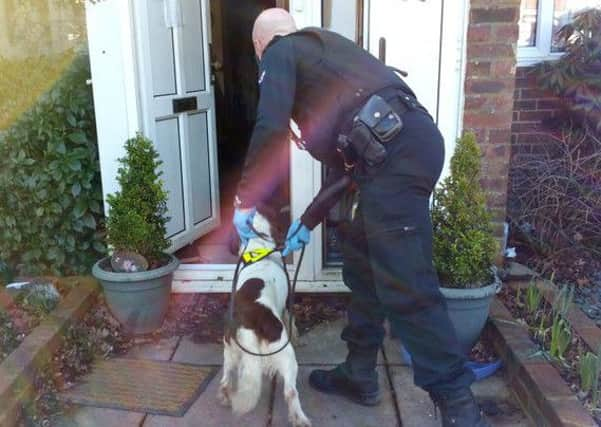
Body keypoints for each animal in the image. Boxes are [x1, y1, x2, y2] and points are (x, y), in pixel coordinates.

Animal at [217, 211, 310, 427]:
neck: (258, 245)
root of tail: (251, 320)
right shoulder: (287, 305)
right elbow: (292, 323)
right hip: (285, 353)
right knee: (290, 391)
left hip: (231, 348)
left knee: (226, 379)